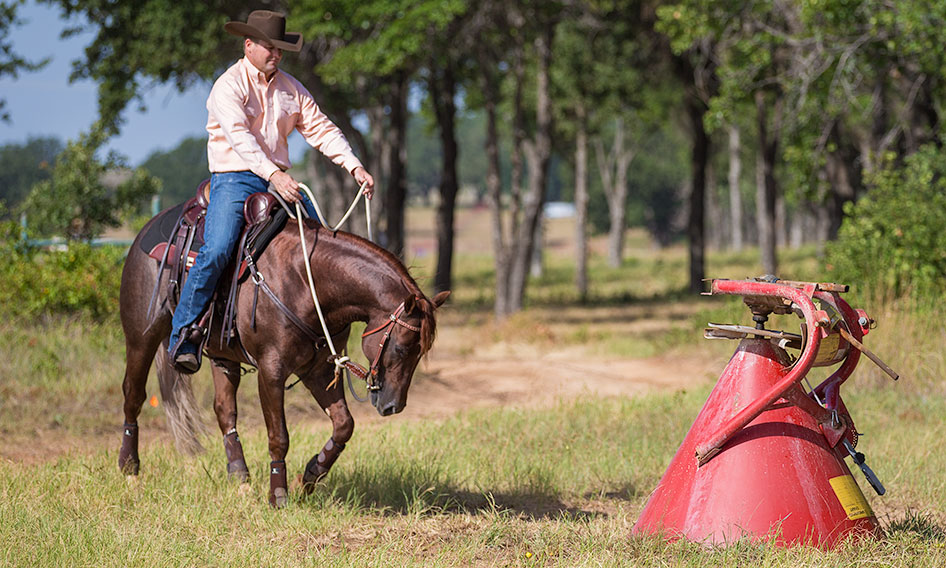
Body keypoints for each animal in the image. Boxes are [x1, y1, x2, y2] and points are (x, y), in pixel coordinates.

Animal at [116, 213, 448, 506]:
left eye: (420, 353)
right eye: (402, 348)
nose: (394, 406)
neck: (306, 282)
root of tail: (145, 232)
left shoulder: (319, 369)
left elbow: (344, 424)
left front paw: (309, 478)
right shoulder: (271, 372)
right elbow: (279, 436)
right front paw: (278, 495)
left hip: (223, 356)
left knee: (224, 410)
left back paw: (240, 479)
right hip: (141, 339)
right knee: (133, 395)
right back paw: (130, 472)